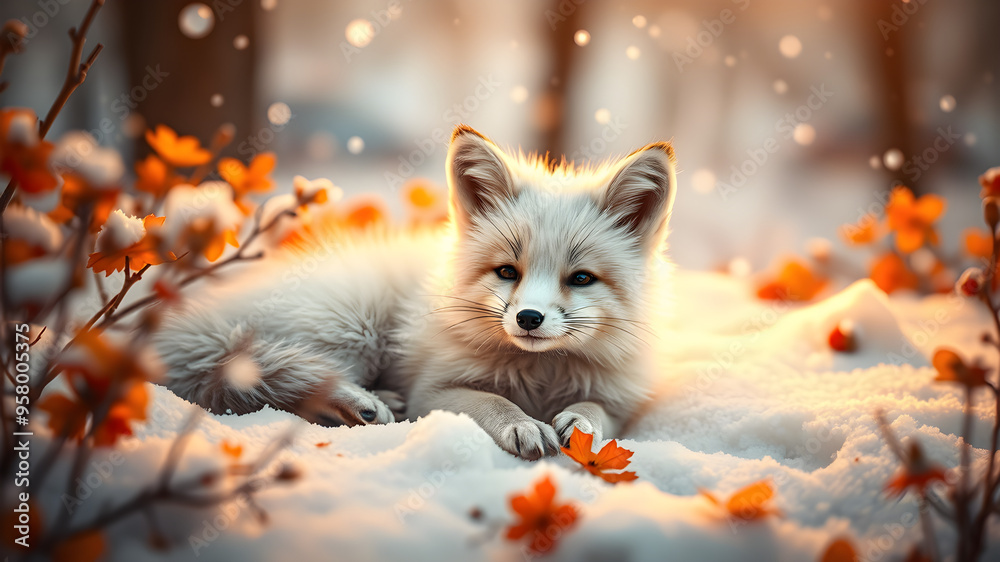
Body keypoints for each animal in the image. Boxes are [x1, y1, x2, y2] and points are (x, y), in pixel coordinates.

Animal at [155, 125, 676, 460]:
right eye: (507, 271)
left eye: (581, 278)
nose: (528, 318)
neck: (542, 377)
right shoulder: (433, 389)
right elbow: (491, 403)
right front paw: (522, 423)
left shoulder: (622, 405)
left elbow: (596, 414)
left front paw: (580, 424)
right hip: (356, 328)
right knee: (265, 376)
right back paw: (360, 402)